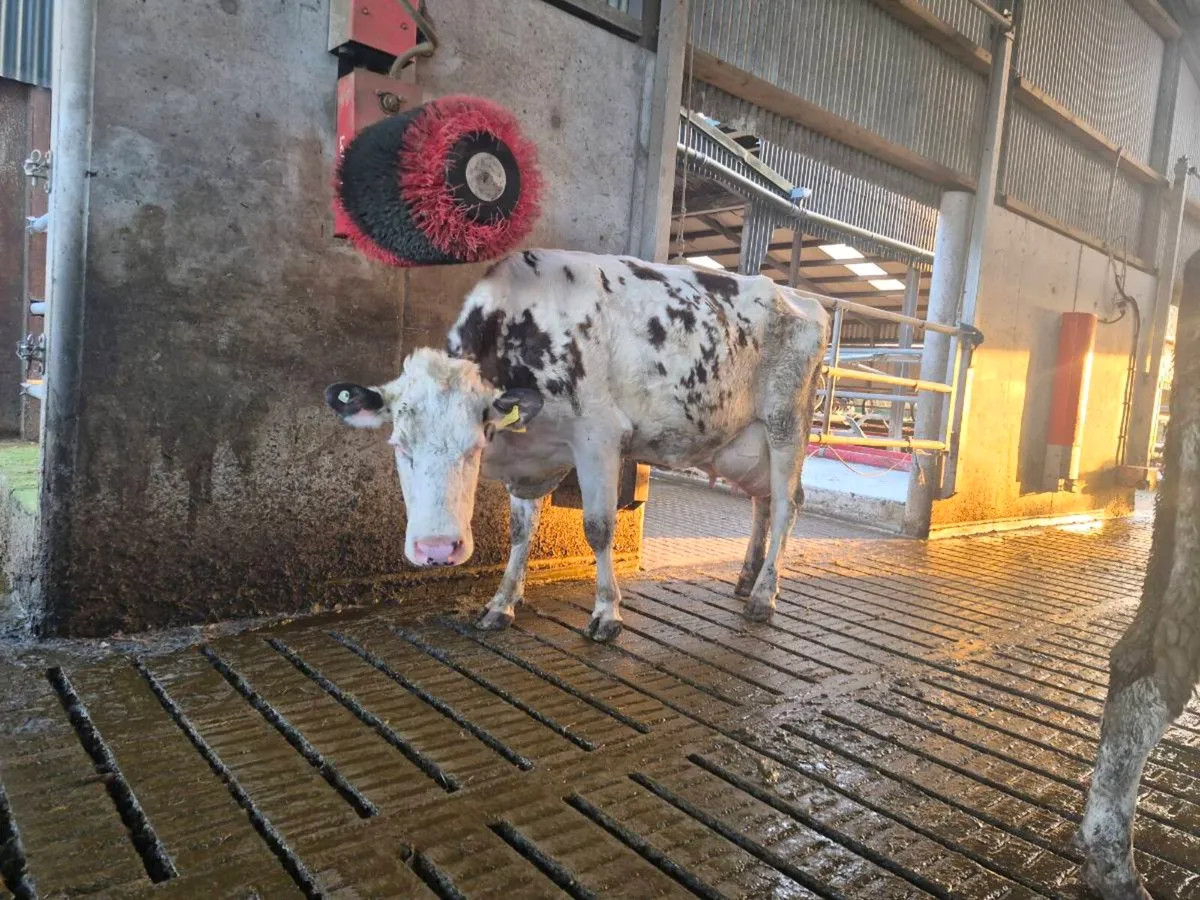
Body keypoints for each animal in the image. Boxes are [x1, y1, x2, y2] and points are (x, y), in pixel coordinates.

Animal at [326, 249, 829, 642]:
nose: (436, 549)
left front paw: (607, 612)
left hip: (786, 423)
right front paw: (501, 603)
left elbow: (598, 528)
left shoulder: (598, 435)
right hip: (746, 441)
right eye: (399, 445)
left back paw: (763, 596)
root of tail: (802, 298)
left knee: (788, 503)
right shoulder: (529, 463)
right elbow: (519, 532)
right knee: (763, 500)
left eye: (474, 445)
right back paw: (747, 577)